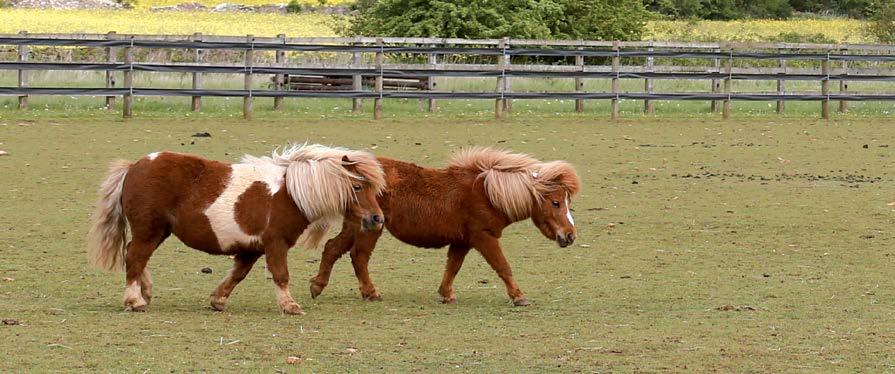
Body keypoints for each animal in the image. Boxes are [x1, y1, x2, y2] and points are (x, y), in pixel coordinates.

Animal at [85, 145, 388, 314]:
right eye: (357, 186)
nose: (377, 218)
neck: (290, 193)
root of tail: (134, 167)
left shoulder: (252, 249)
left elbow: (237, 275)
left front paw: (218, 300)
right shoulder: (276, 244)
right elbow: (281, 275)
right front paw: (290, 306)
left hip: (158, 231)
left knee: (136, 256)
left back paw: (145, 292)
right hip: (149, 230)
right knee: (135, 256)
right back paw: (134, 300)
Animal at [312, 148, 584, 306]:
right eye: (556, 202)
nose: (570, 235)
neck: (488, 193)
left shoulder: (462, 242)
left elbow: (452, 268)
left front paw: (446, 294)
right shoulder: (484, 238)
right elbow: (503, 267)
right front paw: (518, 297)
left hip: (355, 225)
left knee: (332, 248)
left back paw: (317, 286)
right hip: (370, 228)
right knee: (358, 256)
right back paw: (370, 292)